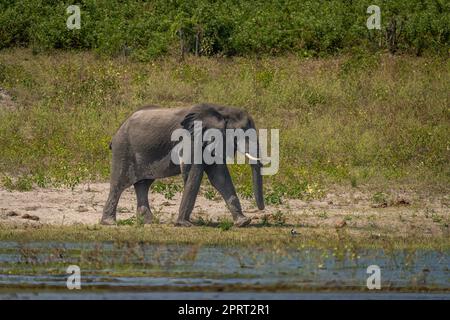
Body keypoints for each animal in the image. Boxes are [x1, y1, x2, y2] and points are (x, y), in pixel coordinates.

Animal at [101, 104, 264, 226]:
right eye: (243, 133)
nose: (261, 210)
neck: (221, 111)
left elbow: (220, 178)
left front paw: (243, 222)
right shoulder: (191, 140)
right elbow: (193, 174)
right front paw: (184, 224)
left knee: (143, 185)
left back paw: (149, 222)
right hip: (123, 149)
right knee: (118, 184)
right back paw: (109, 223)